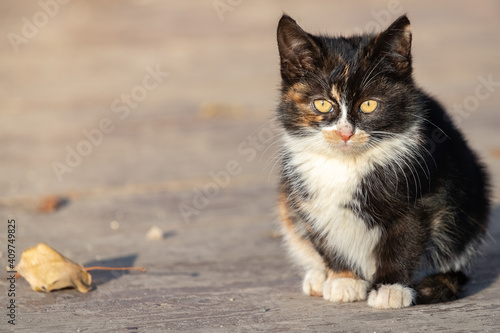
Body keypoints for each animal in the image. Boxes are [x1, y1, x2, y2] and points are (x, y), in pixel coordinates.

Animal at [278, 13, 492, 308]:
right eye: (322, 104)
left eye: (369, 105)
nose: (345, 132)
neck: (347, 164)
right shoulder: (308, 199)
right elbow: (325, 235)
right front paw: (344, 279)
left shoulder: (421, 193)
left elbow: (405, 239)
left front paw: (391, 288)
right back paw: (319, 276)